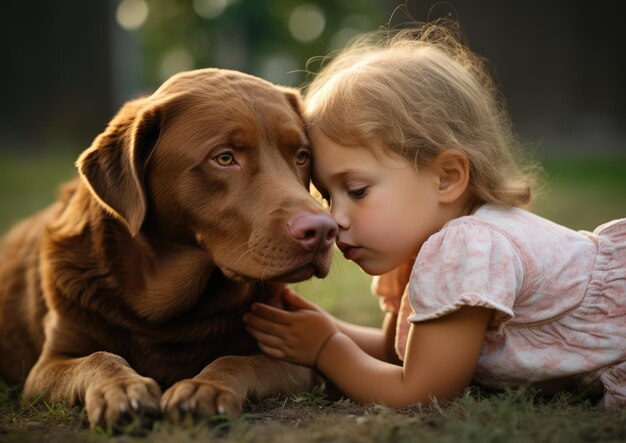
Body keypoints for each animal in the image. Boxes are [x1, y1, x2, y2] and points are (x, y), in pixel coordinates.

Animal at [0, 70, 336, 430]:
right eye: (224, 157)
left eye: (302, 156)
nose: (323, 231)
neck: (164, 315)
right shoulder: (46, 366)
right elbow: (100, 357)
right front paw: (122, 390)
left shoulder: (294, 361)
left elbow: (235, 360)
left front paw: (204, 388)